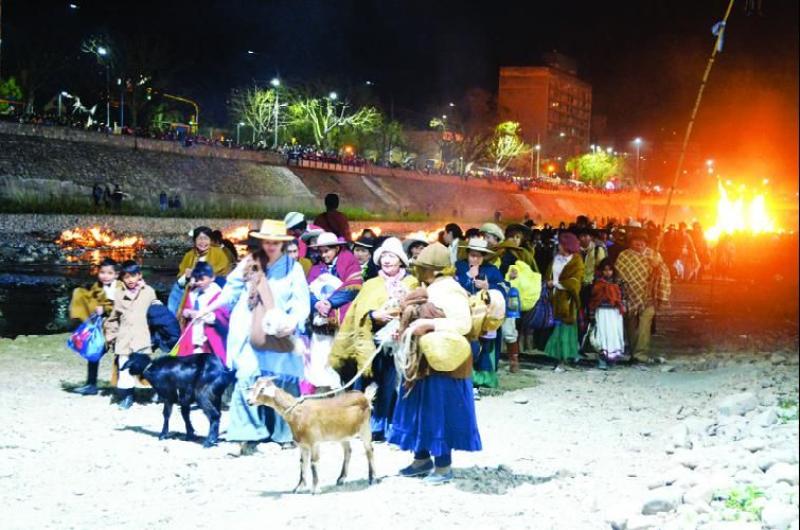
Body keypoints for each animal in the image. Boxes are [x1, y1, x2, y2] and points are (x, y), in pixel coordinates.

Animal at [248, 376, 376, 490]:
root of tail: (364, 396)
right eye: (253, 387)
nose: (248, 401)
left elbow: (313, 463)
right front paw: (299, 487)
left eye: (262, 389)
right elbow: (302, 462)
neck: (298, 412)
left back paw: (372, 478)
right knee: (348, 451)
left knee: (369, 450)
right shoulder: (302, 445)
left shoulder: (314, 442)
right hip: (342, 434)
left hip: (365, 428)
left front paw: (315, 488)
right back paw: (341, 479)